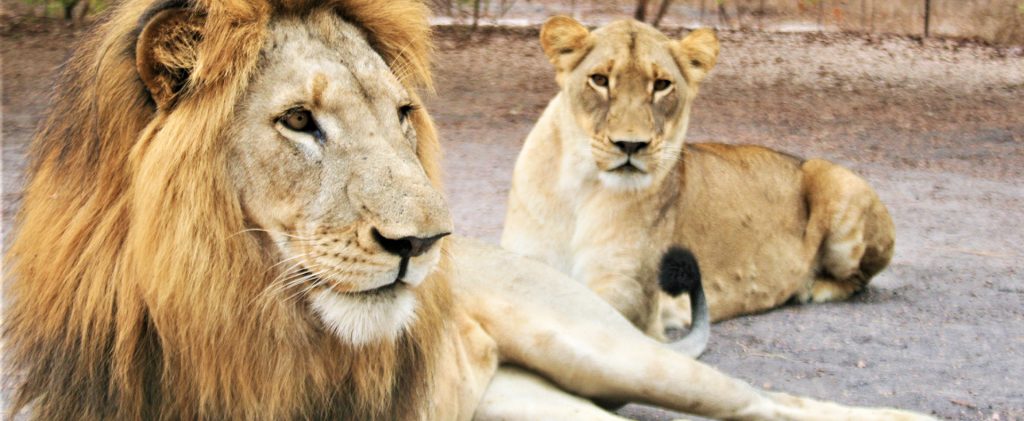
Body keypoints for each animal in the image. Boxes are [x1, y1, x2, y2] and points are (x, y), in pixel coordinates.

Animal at [502, 17, 896, 333]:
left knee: (859, 278)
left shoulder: (629, 289)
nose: (631, 144)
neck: (579, 186)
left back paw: (812, 287)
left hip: (836, 180)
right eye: (599, 80)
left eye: (661, 85)